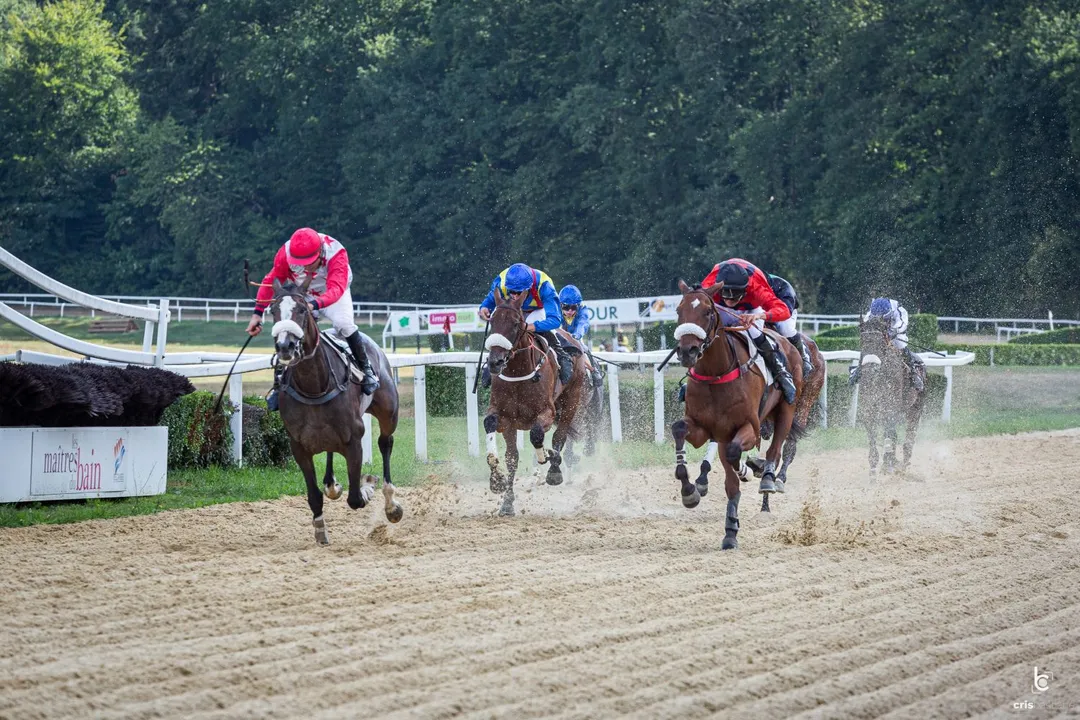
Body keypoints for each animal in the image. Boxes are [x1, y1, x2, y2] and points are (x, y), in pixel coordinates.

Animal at [268, 278, 402, 544]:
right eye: (273, 311)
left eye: (302, 310)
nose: (285, 346)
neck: (314, 386)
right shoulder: (298, 446)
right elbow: (314, 495)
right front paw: (320, 529)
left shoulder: (354, 441)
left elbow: (356, 497)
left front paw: (368, 483)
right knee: (330, 457)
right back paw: (333, 485)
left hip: (388, 413)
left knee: (385, 442)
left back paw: (390, 503)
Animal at [483, 293, 590, 517]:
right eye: (492, 321)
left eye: (516, 324)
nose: (495, 362)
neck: (518, 371)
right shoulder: (505, 418)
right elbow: (508, 454)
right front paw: (499, 485)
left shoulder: (546, 412)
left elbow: (537, 434)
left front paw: (545, 459)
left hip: (572, 400)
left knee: (560, 436)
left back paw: (554, 469)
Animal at [670, 280, 804, 550]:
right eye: (679, 310)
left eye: (707, 312)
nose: (687, 351)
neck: (716, 374)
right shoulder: (704, 429)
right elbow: (679, 429)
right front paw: (689, 491)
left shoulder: (749, 428)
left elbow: (735, 454)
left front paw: (749, 469)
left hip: (787, 409)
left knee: (775, 449)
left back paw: (767, 477)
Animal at [854, 315, 927, 478]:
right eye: (862, 340)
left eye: (881, 341)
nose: (870, 368)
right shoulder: (869, 410)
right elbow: (874, 442)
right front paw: (874, 472)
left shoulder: (890, 408)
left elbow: (890, 436)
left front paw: (889, 465)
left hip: (916, 407)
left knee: (909, 439)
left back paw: (903, 465)